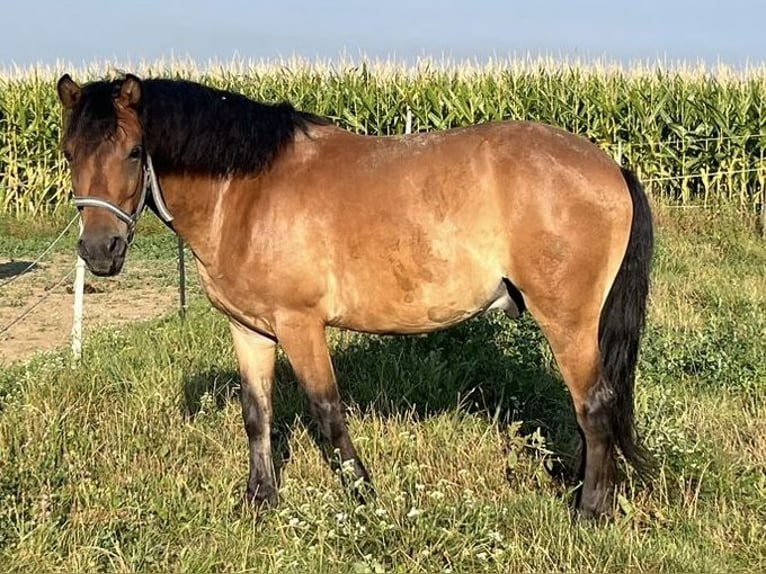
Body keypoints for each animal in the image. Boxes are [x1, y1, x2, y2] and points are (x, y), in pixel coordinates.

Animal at [55, 73, 656, 520]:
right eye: (68, 152)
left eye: (135, 151)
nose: (100, 251)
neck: (246, 192)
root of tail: (609, 166)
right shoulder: (248, 329)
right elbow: (257, 414)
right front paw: (260, 501)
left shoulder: (300, 326)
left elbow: (328, 413)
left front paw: (366, 499)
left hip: (568, 321)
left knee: (594, 405)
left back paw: (590, 511)